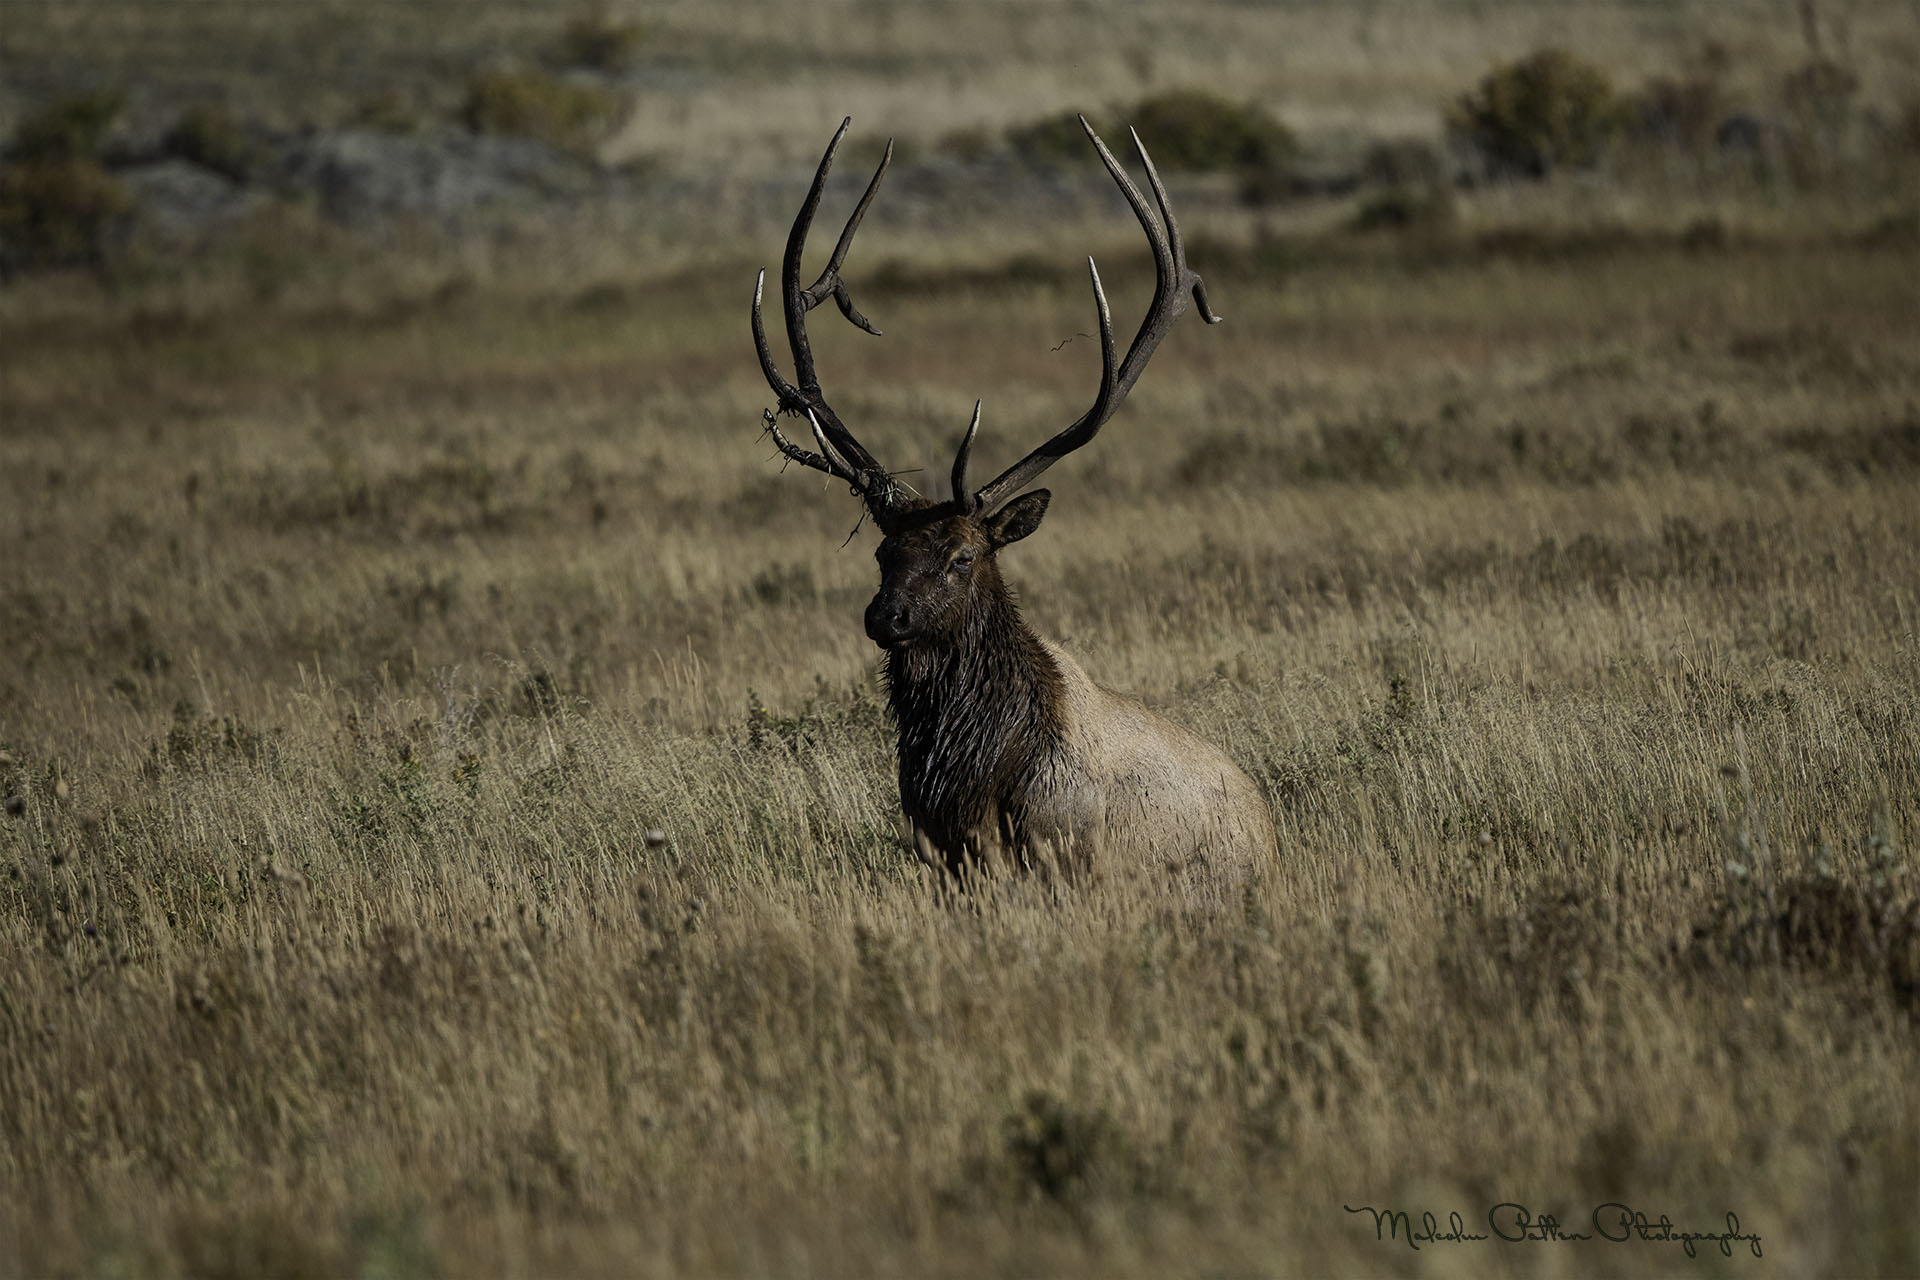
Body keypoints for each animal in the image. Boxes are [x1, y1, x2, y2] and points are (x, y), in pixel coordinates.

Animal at [748, 117, 1274, 882]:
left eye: (964, 555)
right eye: (882, 551)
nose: (885, 616)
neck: (970, 782)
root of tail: (1271, 824)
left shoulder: (1064, 851)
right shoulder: (938, 851)